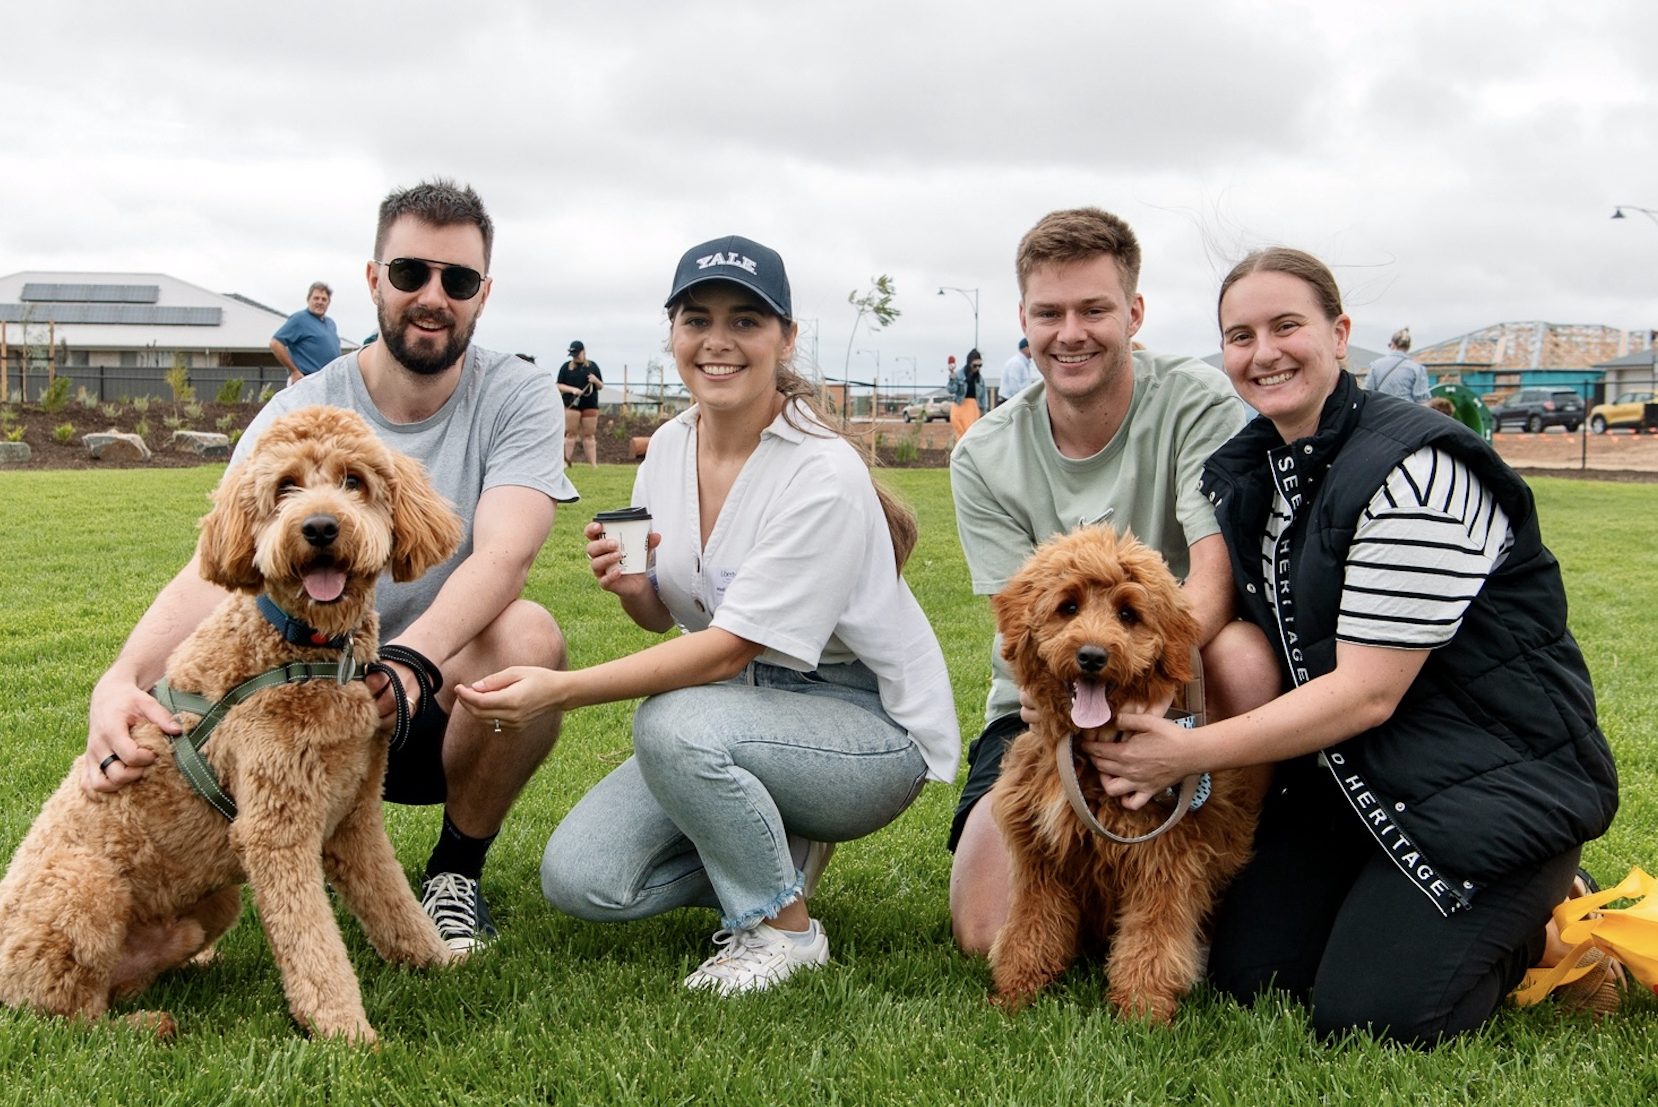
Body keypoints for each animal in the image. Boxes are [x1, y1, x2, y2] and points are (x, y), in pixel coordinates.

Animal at [0, 404, 464, 1040]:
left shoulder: (355, 816)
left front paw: (439, 962)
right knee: (66, 1016)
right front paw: (345, 1032)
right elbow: (313, 943)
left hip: (213, 904)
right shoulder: (275, 829)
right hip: (82, 885)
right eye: (285, 487)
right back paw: (145, 1025)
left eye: (354, 481)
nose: (320, 527)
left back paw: (192, 968)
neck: (305, 652)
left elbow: (393, 904)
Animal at [981, 526, 1253, 1020]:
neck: (1084, 753)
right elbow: (1030, 928)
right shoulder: (1040, 856)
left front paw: (1141, 1011)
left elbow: (1152, 940)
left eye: (1128, 614)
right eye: (1068, 606)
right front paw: (1015, 994)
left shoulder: (1165, 861)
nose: (1092, 656)